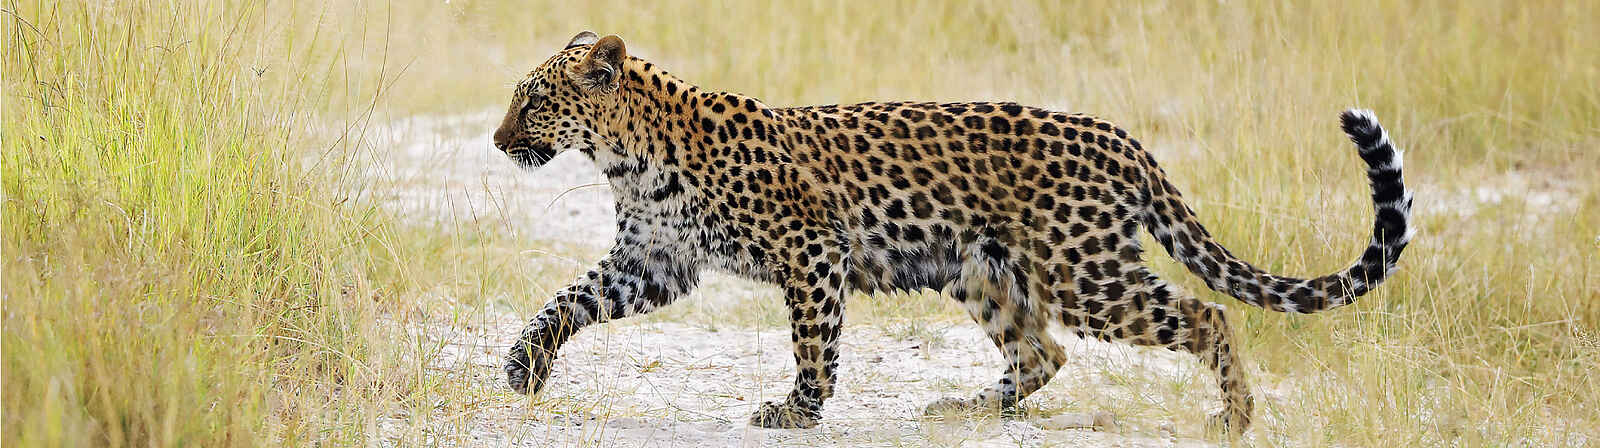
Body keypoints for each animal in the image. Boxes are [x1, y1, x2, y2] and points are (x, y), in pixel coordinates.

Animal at [494, 31, 1414, 433]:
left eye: (534, 100)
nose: (501, 142)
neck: (627, 156)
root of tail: (1122, 138)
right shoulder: (653, 260)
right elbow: (568, 299)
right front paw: (522, 364)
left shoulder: (811, 248)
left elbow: (813, 339)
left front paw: (800, 409)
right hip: (984, 272)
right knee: (1043, 352)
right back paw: (965, 407)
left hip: (1083, 271)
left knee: (1206, 314)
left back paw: (1235, 417)